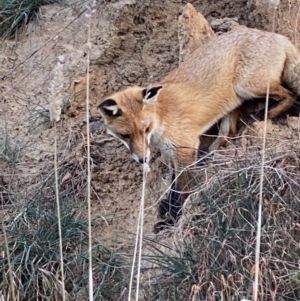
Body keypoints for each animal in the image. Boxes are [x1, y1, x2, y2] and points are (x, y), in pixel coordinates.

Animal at [99, 27, 300, 225]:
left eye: (145, 129)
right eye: (125, 135)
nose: (143, 160)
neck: (161, 117)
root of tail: (276, 35)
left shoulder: (185, 148)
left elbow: (181, 190)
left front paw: (175, 218)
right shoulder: (171, 151)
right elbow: (173, 187)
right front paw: (169, 211)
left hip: (248, 86)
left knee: (290, 95)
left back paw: (265, 114)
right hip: (235, 100)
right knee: (228, 133)